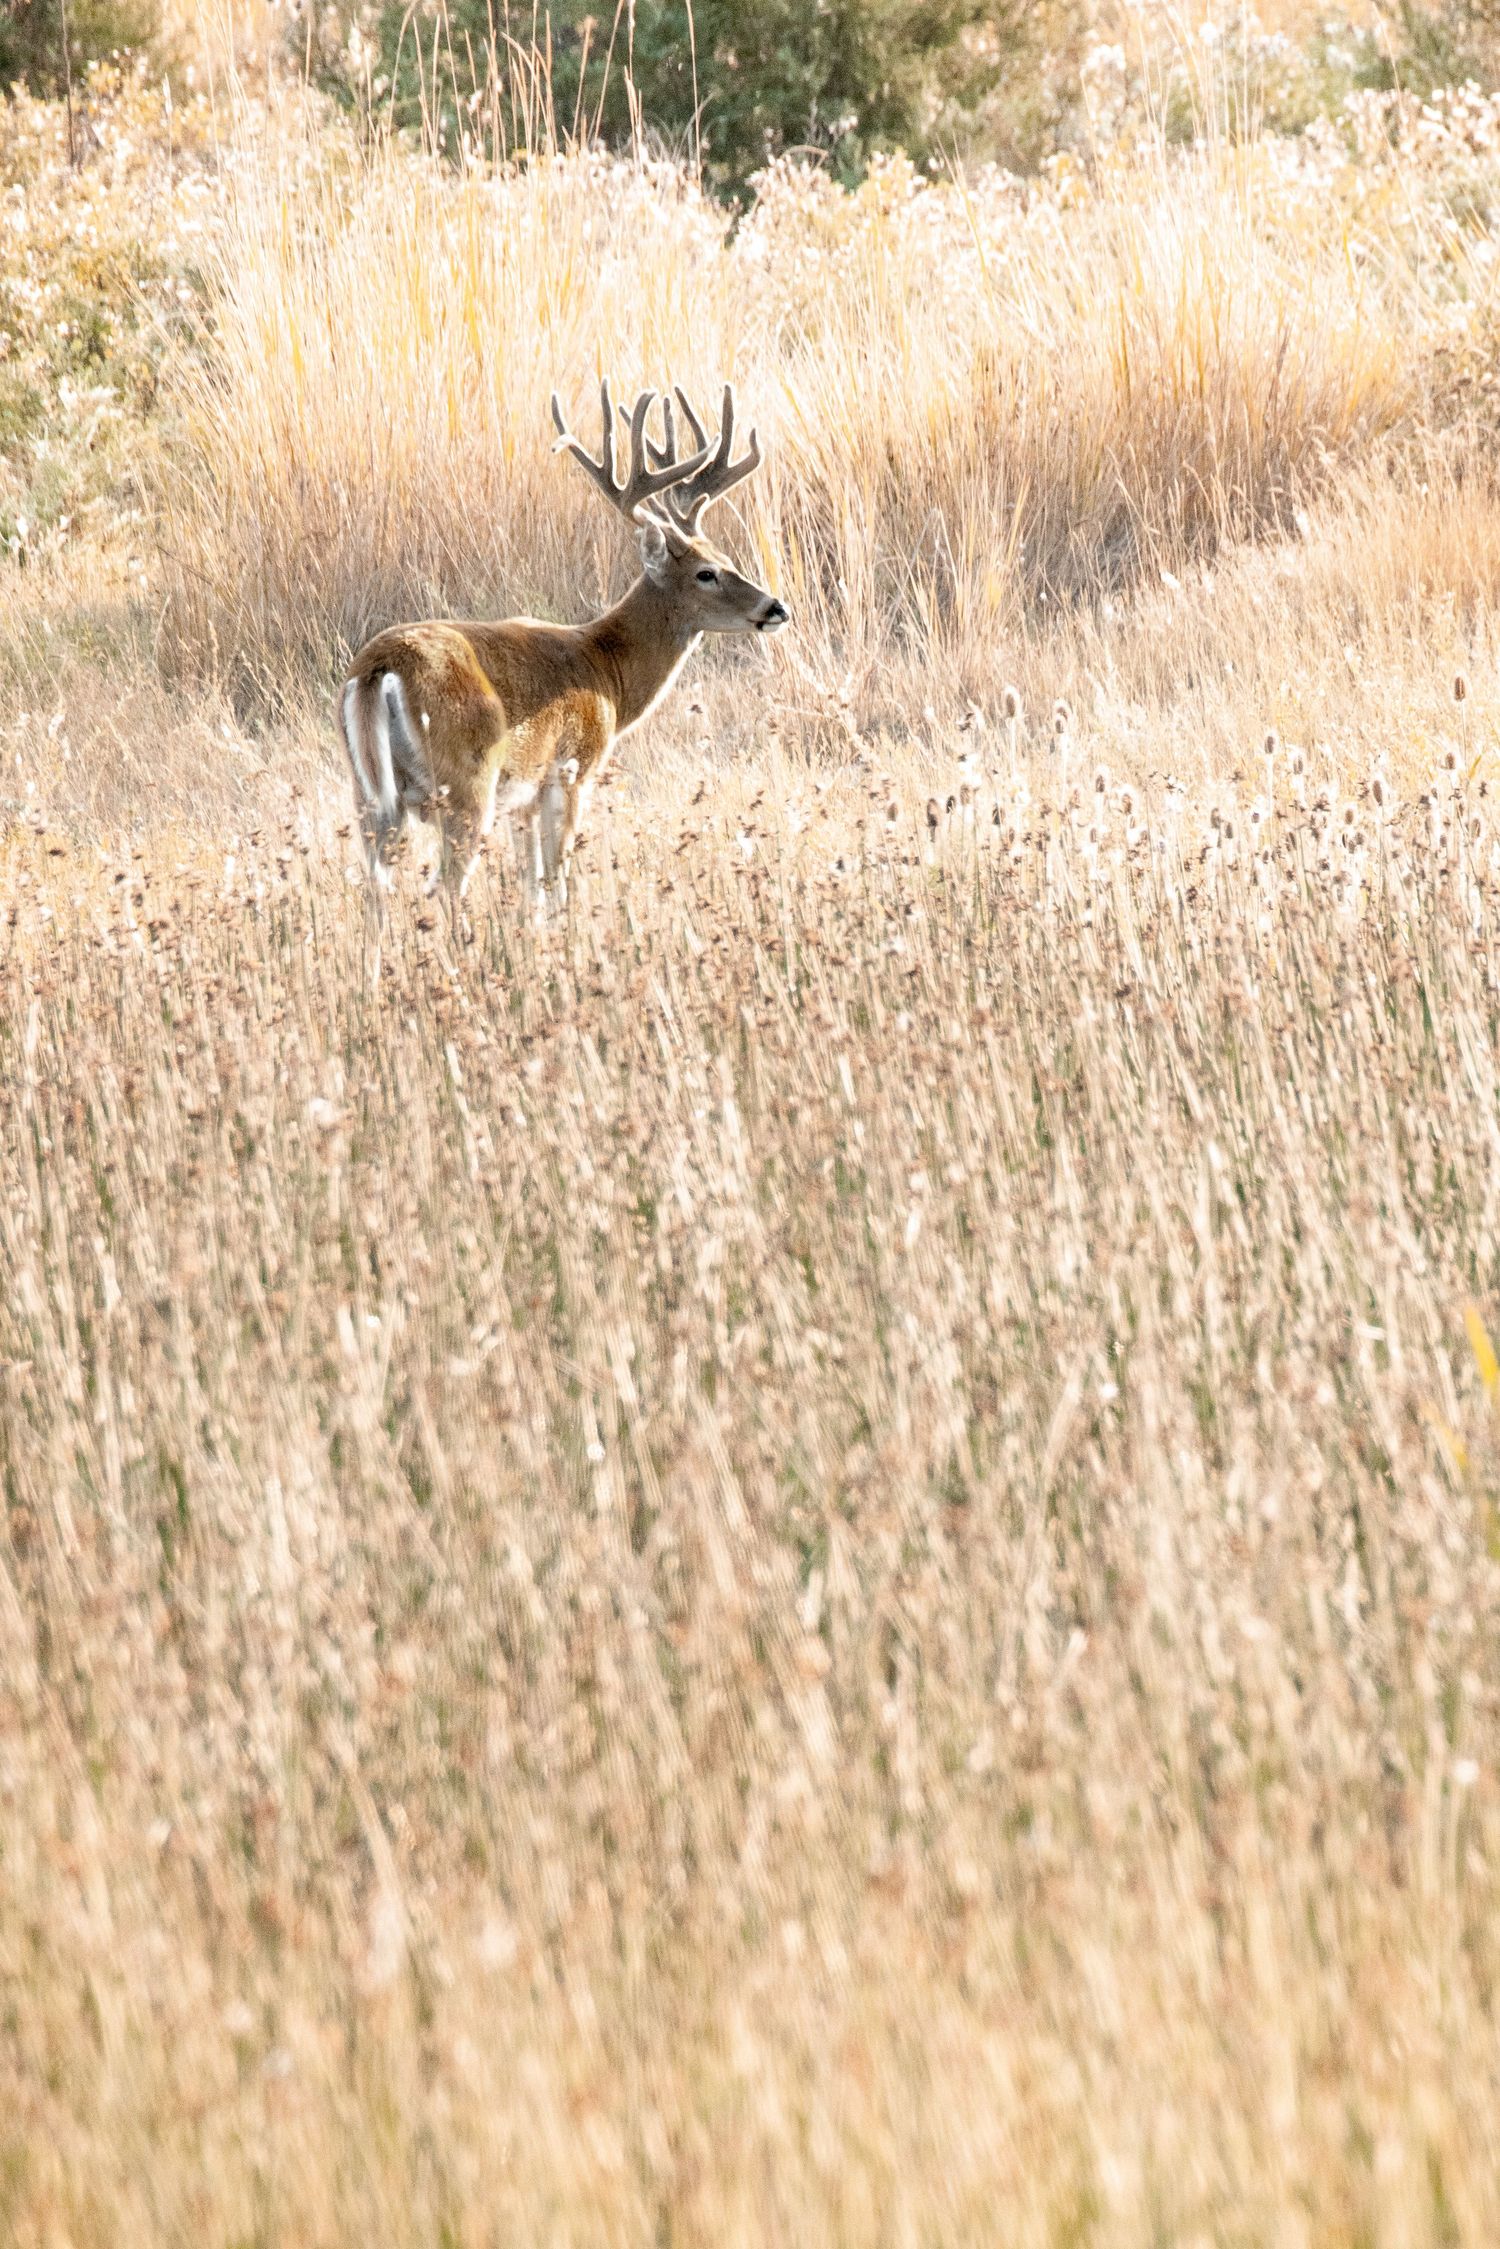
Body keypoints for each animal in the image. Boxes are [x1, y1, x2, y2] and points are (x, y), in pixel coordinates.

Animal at [338, 379, 788, 923]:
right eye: (706, 573)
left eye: (725, 557)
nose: (776, 607)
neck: (608, 672)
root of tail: (380, 668)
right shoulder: (571, 772)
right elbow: (557, 884)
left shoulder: (523, 802)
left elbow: (531, 891)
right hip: (466, 784)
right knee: (444, 888)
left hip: (371, 796)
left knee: (374, 893)